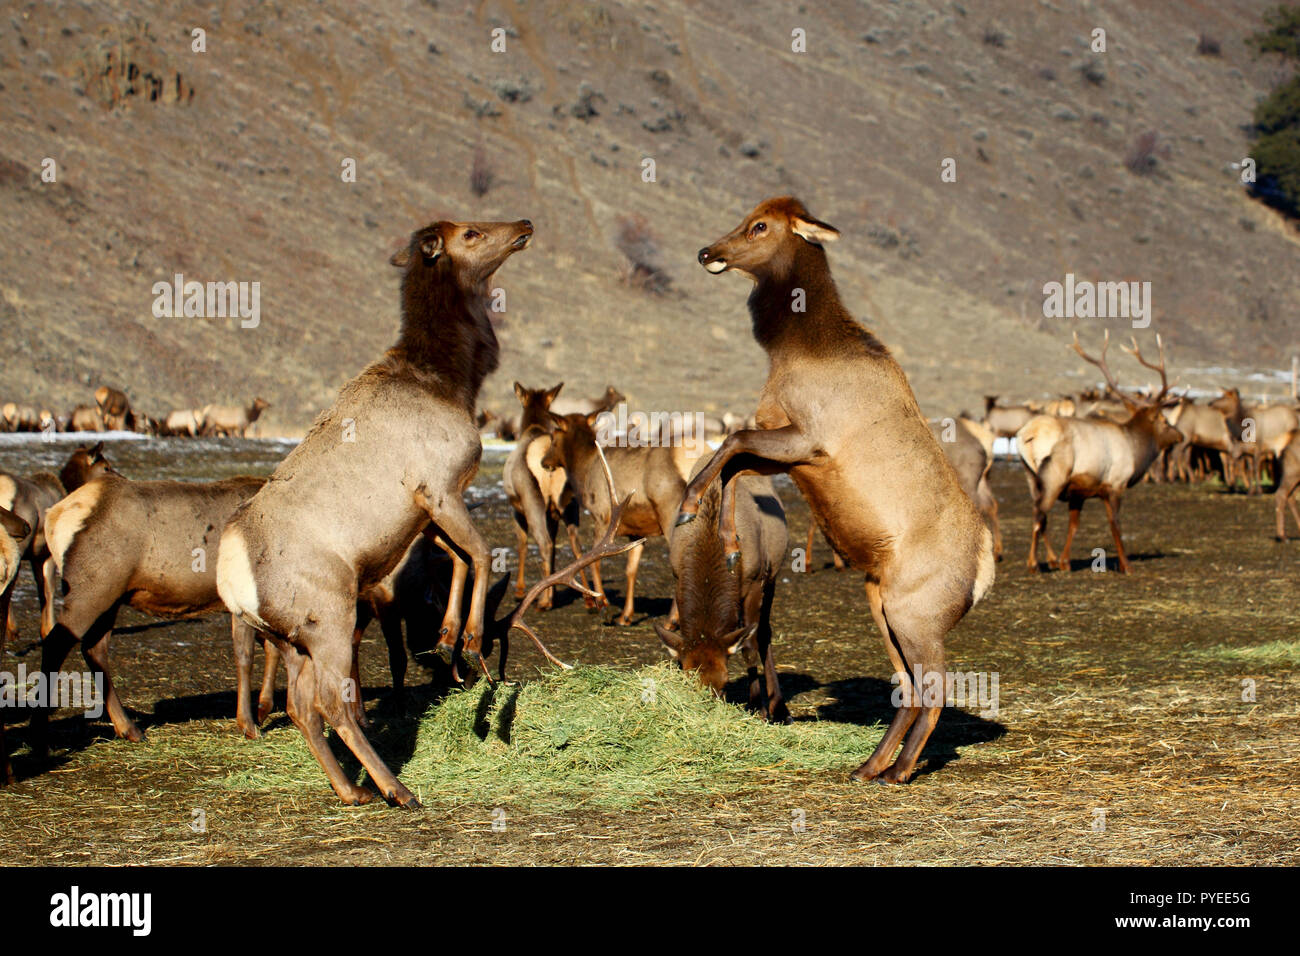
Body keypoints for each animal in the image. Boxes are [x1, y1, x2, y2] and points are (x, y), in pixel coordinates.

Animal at [218, 217, 533, 806]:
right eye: (471, 233)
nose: (524, 224)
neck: (454, 381)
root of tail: (231, 584)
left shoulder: (430, 507)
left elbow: (459, 560)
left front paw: (448, 639)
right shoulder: (438, 484)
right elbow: (481, 553)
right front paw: (472, 643)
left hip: (291, 638)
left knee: (301, 706)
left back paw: (351, 790)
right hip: (330, 615)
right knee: (330, 703)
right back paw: (395, 787)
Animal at [676, 196, 987, 785]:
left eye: (759, 225)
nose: (705, 251)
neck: (795, 349)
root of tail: (983, 576)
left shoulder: (809, 437)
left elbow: (732, 443)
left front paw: (686, 507)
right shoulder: (794, 448)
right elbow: (734, 465)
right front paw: (724, 540)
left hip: (916, 614)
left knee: (935, 688)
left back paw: (900, 770)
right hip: (880, 602)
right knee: (908, 687)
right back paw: (869, 765)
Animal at [1019, 332, 1185, 572]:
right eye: (1164, 420)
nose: (1180, 435)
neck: (1135, 450)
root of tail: (1028, 435)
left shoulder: (1079, 491)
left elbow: (1074, 525)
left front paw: (1065, 562)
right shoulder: (1115, 484)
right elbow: (1115, 524)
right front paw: (1126, 566)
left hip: (1031, 475)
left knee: (1041, 516)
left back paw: (1050, 559)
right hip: (1054, 475)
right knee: (1039, 513)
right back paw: (1033, 563)